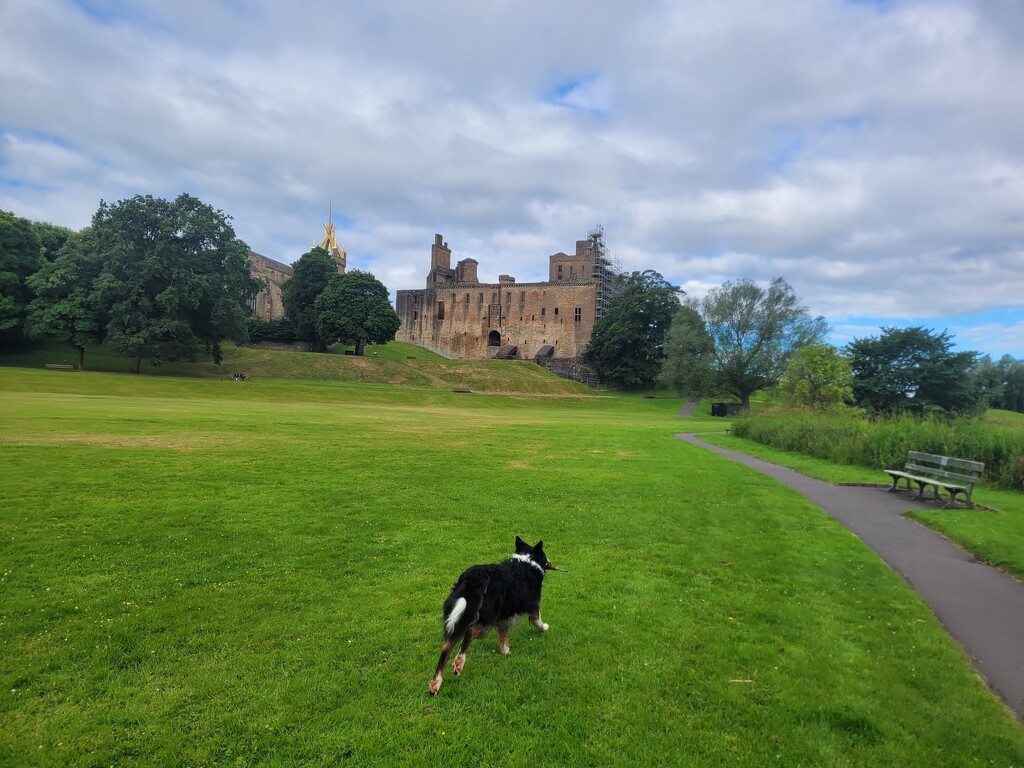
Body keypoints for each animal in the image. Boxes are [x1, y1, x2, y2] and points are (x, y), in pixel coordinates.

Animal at [428, 536, 565, 696]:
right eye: (544, 554)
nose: (550, 561)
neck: (528, 561)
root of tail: (473, 578)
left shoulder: (503, 617)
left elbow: (503, 636)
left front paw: (506, 653)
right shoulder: (533, 606)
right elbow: (538, 621)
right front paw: (544, 628)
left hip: (462, 616)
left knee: (446, 647)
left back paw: (435, 683)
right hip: (486, 621)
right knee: (469, 633)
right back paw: (459, 662)